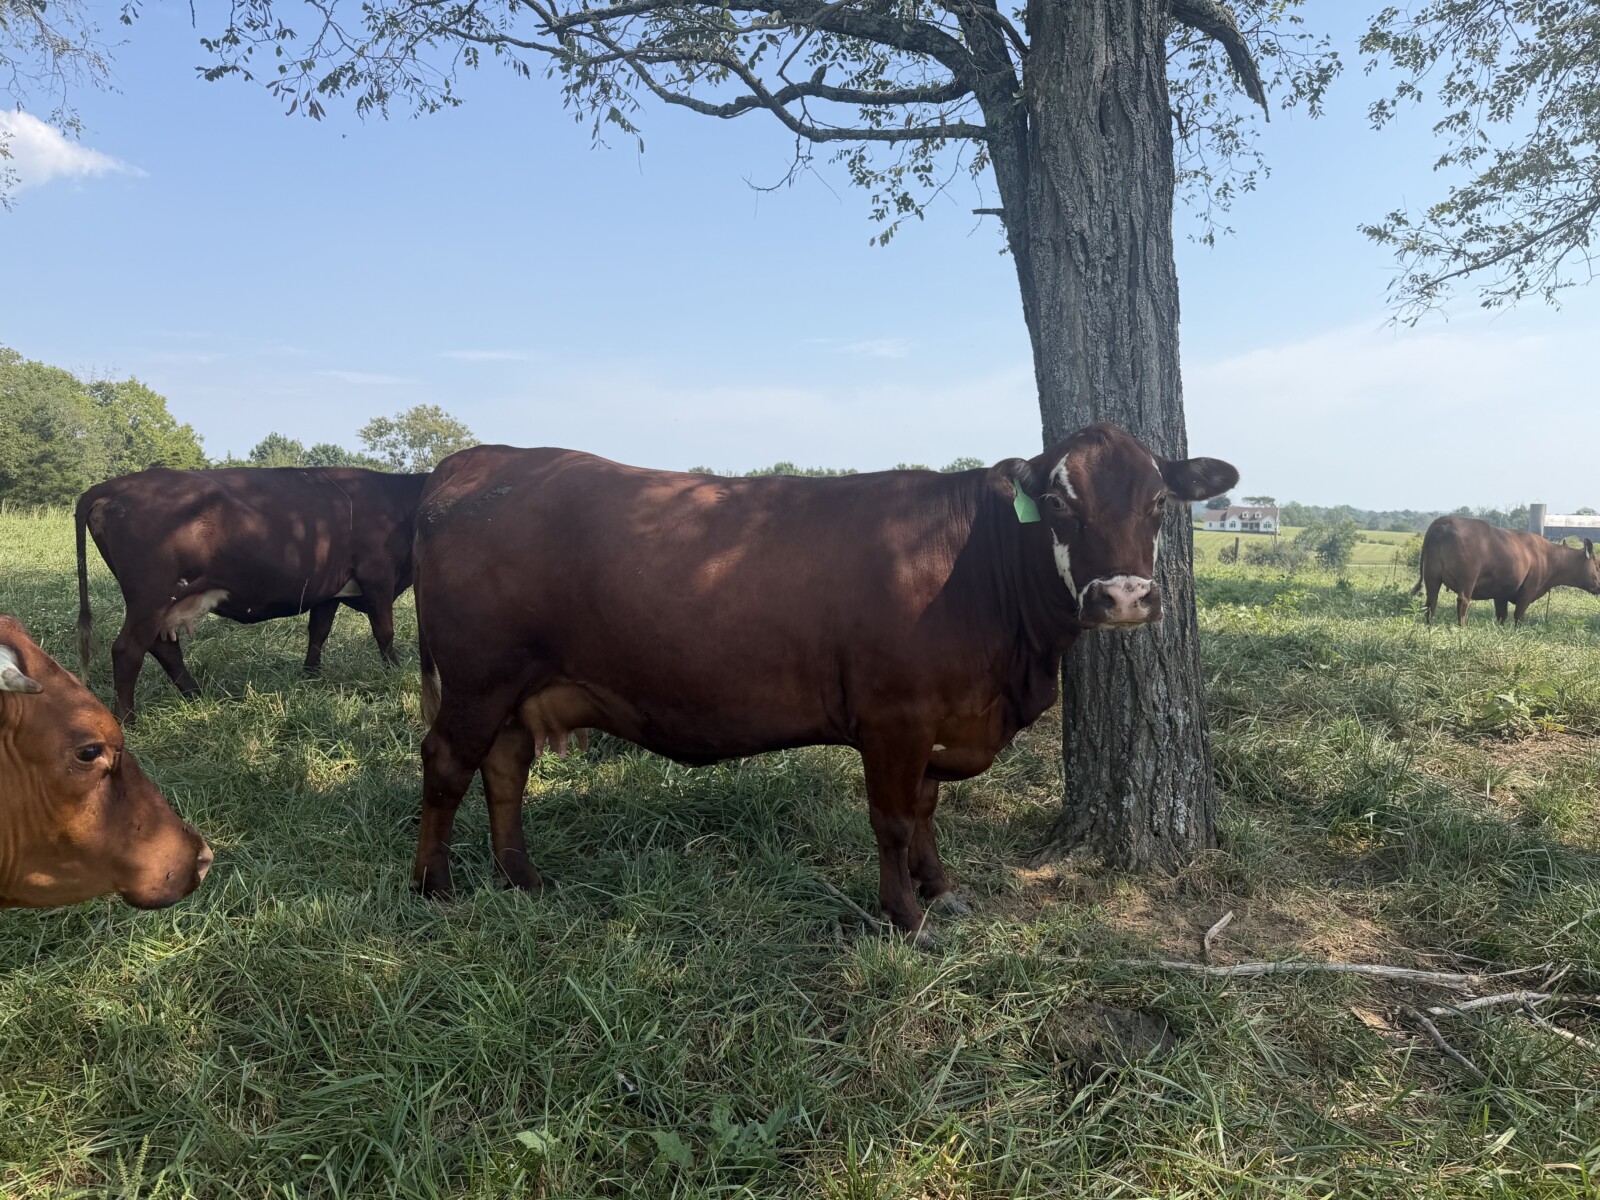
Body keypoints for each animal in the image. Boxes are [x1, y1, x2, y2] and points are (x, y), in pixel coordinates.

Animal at [75, 466, 429, 721]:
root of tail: (113, 486)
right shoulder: (377, 578)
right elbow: (384, 632)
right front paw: (394, 675)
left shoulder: (328, 588)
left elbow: (319, 632)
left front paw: (310, 678)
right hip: (150, 598)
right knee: (128, 651)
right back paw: (128, 720)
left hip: (163, 603)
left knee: (164, 648)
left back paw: (197, 695)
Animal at [408, 423, 1238, 940]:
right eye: (1062, 502)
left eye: (1157, 501)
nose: (1124, 597)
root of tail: (481, 460)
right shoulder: (895, 715)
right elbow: (893, 817)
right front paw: (905, 918)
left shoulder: (938, 718)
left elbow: (927, 805)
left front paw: (941, 888)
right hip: (480, 677)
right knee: (447, 764)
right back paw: (433, 889)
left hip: (515, 688)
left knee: (505, 768)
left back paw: (522, 877)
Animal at [1412, 515, 1600, 627]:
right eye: (1598, 565)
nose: (1599, 587)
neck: (1547, 556)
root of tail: (1446, 520)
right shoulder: (1528, 590)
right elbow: (1518, 615)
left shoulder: (1500, 593)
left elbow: (1502, 615)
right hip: (1468, 579)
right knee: (1462, 602)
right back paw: (1462, 627)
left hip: (1432, 577)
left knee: (1431, 602)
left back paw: (1428, 624)